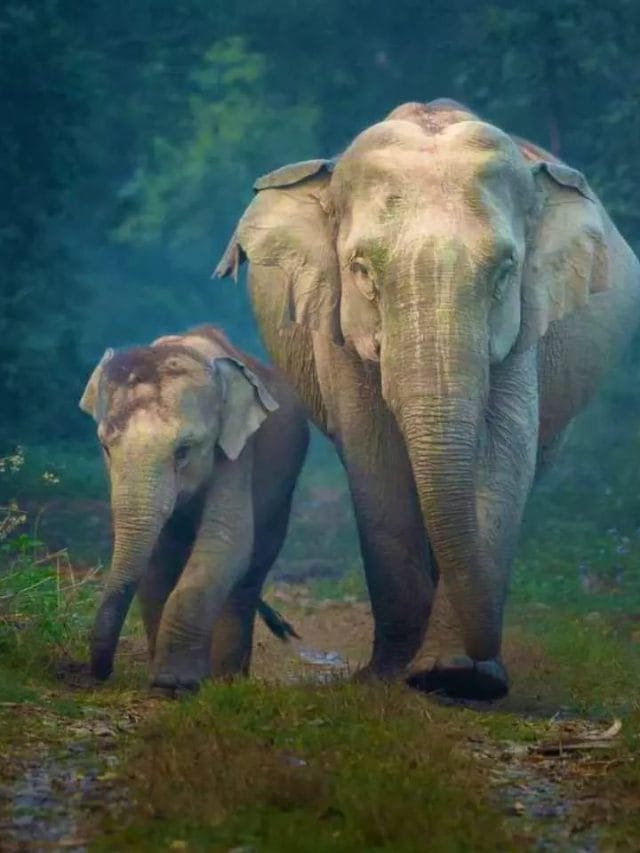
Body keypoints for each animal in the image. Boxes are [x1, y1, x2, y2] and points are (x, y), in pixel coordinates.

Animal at [79, 324, 309, 695]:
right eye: (105, 447)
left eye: (183, 450)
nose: (102, 674)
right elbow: (157, 559)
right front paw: (162, 683)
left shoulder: (238, 450)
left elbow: (226, 543)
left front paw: (175, 684)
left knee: (248, 577)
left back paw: (227, 680)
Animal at [215, 98, 640, 699]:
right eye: (361, 270)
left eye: (505, 271)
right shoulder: (336, 330)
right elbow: (375, 461)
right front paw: (388, 677)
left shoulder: (523, 329)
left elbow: (503, 457)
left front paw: (458, 677)